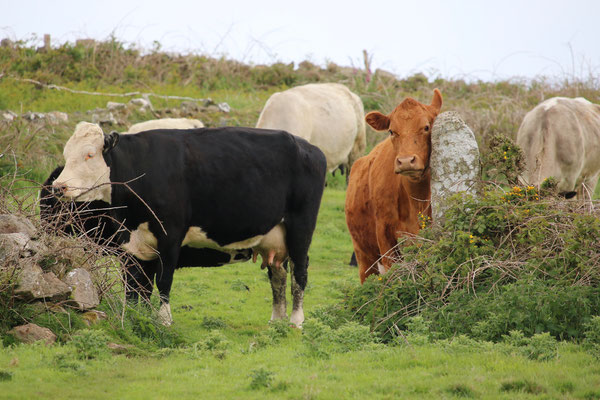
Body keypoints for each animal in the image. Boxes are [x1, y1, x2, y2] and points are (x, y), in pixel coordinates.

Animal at [53, 123, 326, 326]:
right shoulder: (131, 245)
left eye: (89, 154)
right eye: (66, 154)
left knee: (299, 272)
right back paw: (277, 320)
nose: (59, 186)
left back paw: (296, 321)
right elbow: (135, 287)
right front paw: (134, 317)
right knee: (278, 275)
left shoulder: (170, 237)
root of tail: (308, 147)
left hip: (301, 227)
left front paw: (164, 320)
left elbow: (163, 282)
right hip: (273, 237)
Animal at [346, 88, 440, 282]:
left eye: (426, 127)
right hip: (364, 257)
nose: (406, 161)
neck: (416, 201)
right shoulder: (384, 236)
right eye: (391, 131)